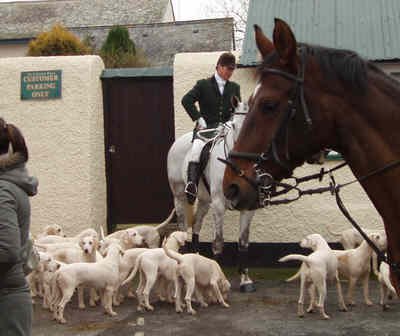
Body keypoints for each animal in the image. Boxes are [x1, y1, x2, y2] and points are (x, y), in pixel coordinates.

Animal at [166, 97, 256, 292]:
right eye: (234, 125)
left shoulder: (248, 207)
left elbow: (243, 242)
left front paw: (245, 279)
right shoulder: (219, 205)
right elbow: (218, 242)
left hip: (205, 202)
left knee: (196, 225)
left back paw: (196, 257)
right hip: (180, 196)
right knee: (182, 228)